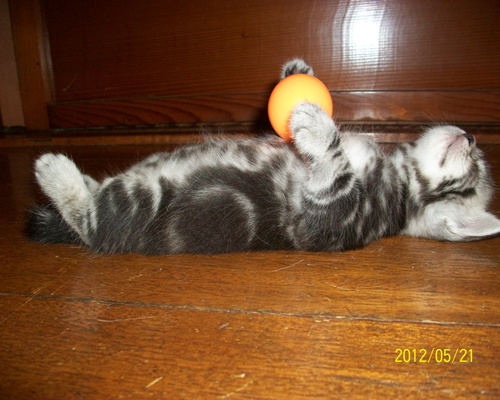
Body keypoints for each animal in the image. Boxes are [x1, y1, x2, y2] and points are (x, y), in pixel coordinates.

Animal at [27, 59, 500, 254]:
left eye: (475, 174)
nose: (472, 135)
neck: (398, 179)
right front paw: (300, 74)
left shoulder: (331, 217)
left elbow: (335, 170)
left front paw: (317, 128)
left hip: (139, 202)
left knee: (93, 220)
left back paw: (55, 173)